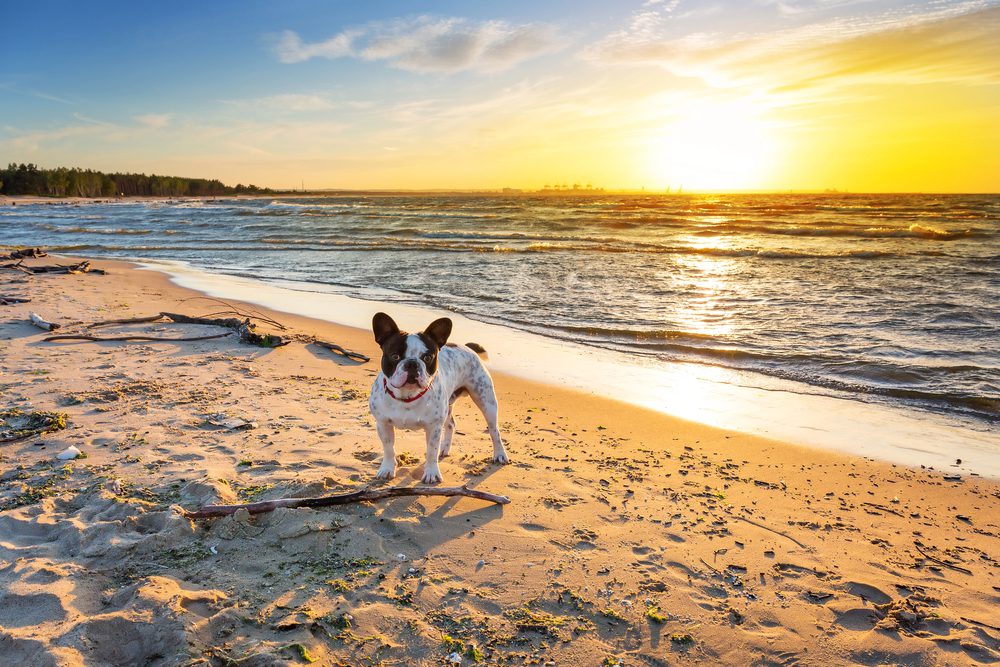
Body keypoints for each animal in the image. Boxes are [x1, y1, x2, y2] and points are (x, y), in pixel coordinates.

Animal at [368, 314, 508, 486]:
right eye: (395, 356)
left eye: (428, 357)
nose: (412, 363)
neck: (408, 396)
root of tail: (467, 347)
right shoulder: (383, 424)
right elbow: (388, 448)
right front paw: (387, 469)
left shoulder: (434, 427)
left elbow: (431, 451)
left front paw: (432, 473)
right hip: (449, 405)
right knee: (451, 424)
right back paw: (444, 448)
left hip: (486, 400)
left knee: (494, 430)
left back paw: (499, 454)